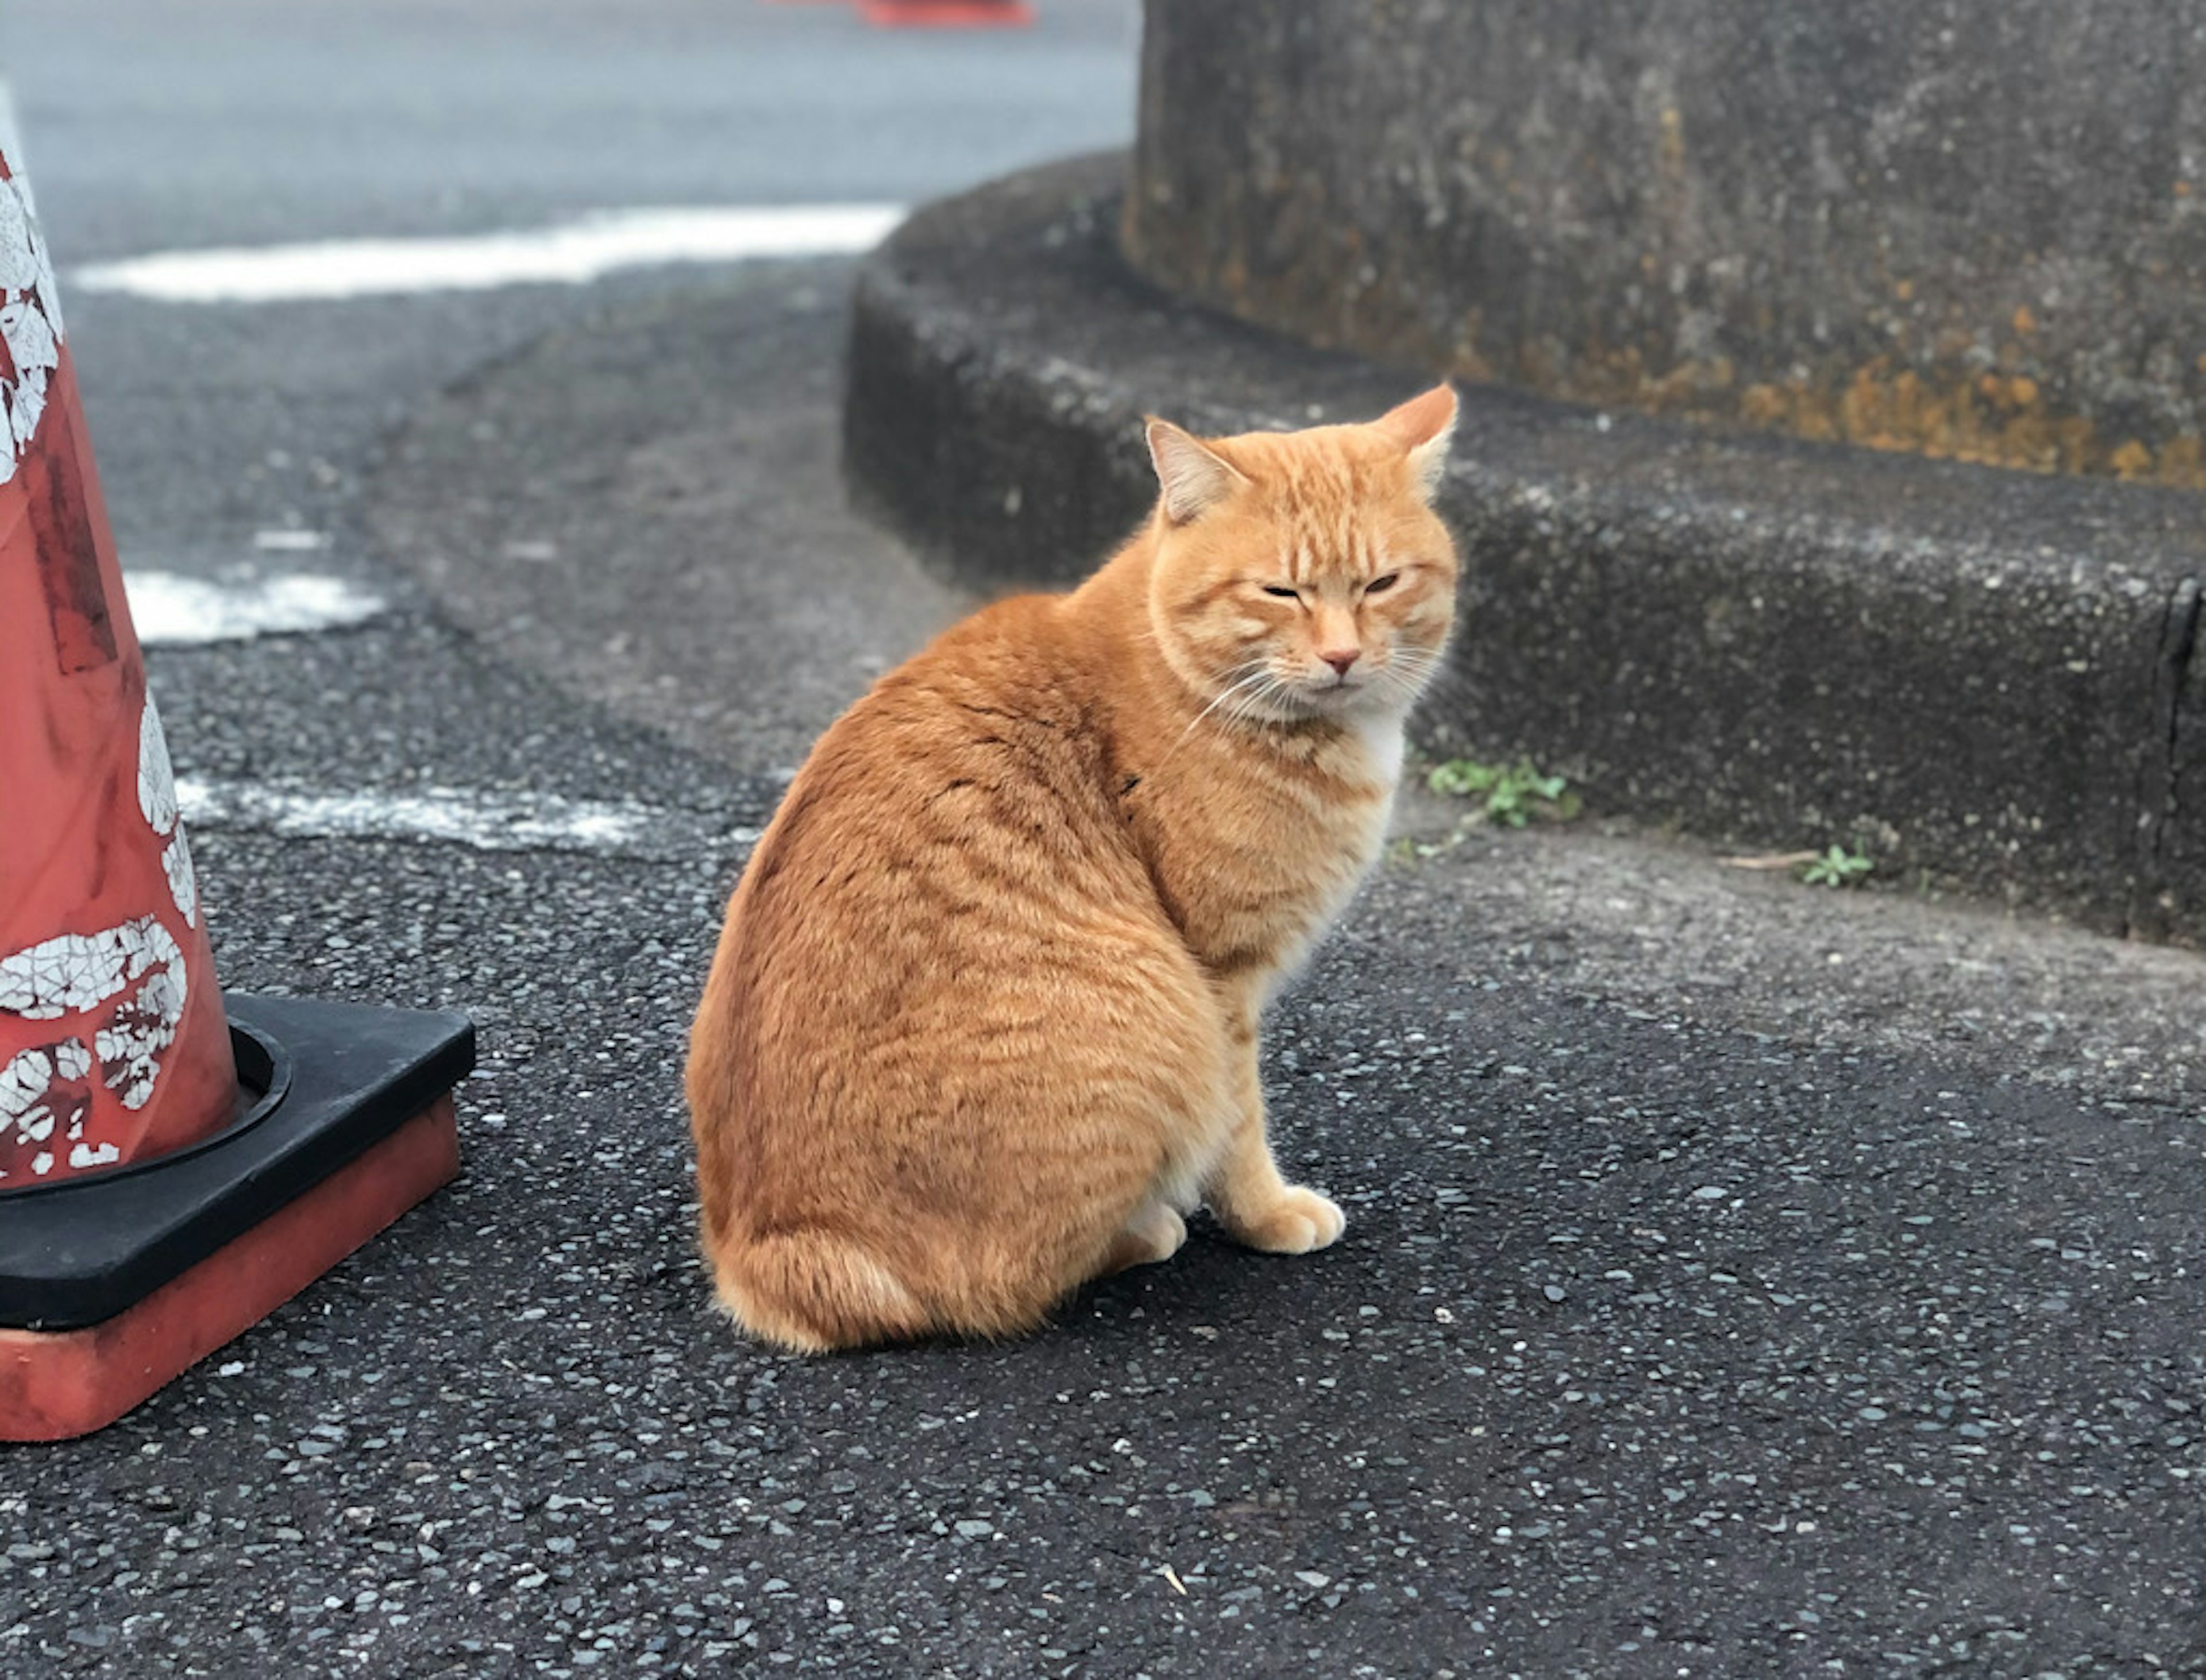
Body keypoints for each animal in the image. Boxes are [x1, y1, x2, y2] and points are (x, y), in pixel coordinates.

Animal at [679, 383, 1456, 1349]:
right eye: (1281, 590)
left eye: (1383, 584)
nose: (1344, 656)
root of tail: (766, 1249)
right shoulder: (1224, 981)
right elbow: (1240, 1129)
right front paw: (1270, 1216)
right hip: (1163, 1018)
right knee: (1004, 1283)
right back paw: (1146, 1228)